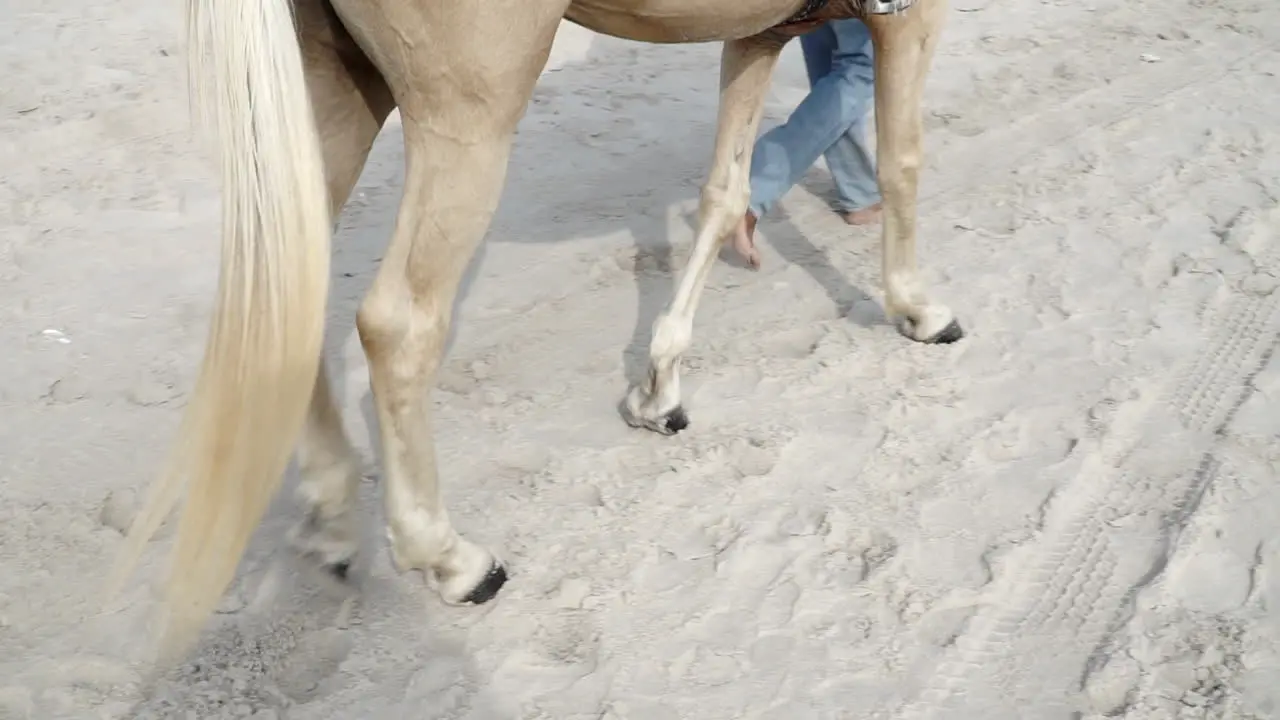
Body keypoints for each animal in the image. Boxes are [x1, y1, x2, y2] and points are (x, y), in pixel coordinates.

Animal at [112, 0, 962, 653]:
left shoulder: (756, 32)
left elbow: (725, 192)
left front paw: (660, 388)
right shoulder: (906, 15)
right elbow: (904, 158)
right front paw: (917, 308)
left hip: (336, 80)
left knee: (290, 273)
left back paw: (330, 517)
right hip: (467, 121)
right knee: (400, 326)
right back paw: (449, 558)